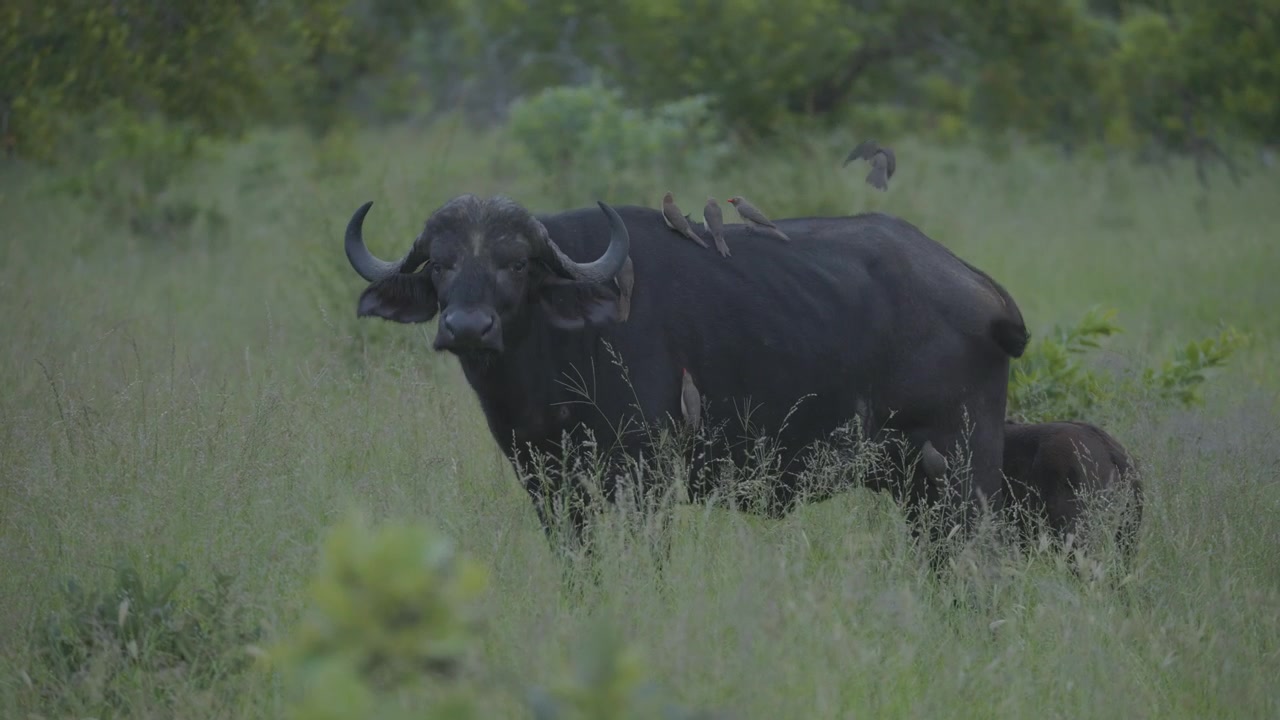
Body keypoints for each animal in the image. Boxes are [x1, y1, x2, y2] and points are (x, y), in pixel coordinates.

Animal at [341, 195, 1030, 559]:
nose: (467, 327)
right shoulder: (547, 483)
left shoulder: (647, 478)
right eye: (441, 263)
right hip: (921, 492)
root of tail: (982, 289)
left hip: (964, 475)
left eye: (515, 263)